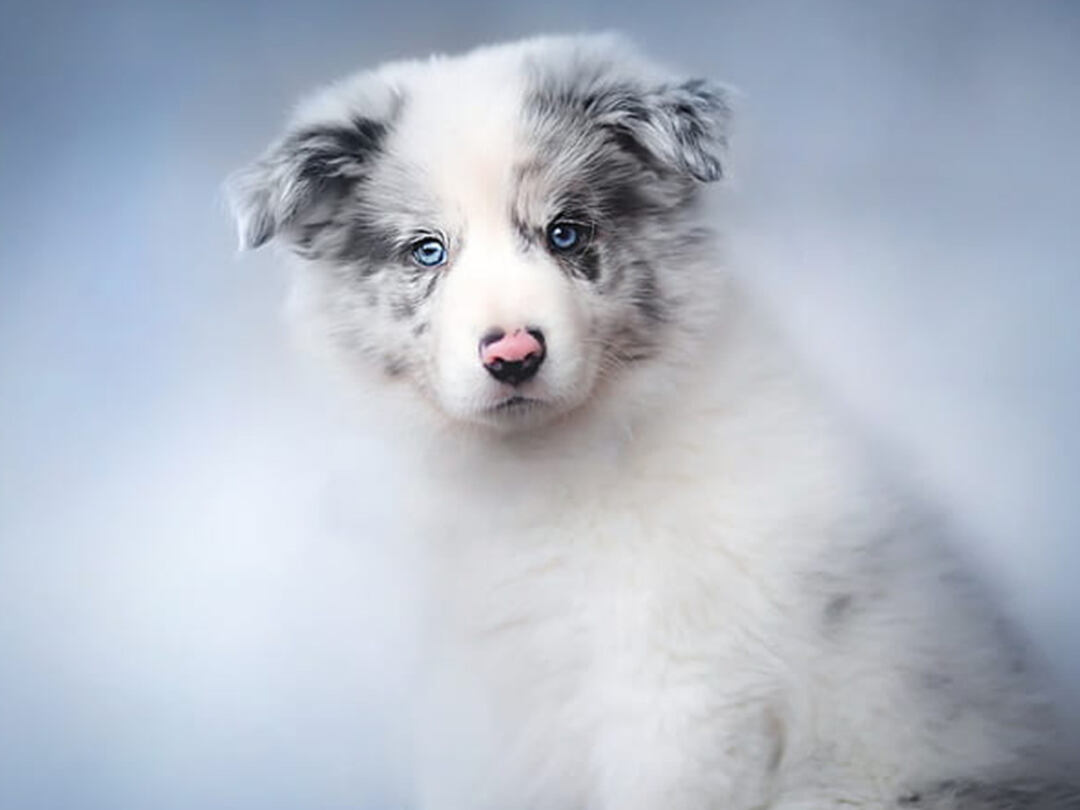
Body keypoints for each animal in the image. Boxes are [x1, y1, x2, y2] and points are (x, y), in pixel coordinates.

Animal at [223, 33, 1075, 810]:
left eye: (567, 233)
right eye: (427, 252)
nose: (513, 353)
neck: (550, 471)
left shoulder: (681, 697)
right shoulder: (494, 705)